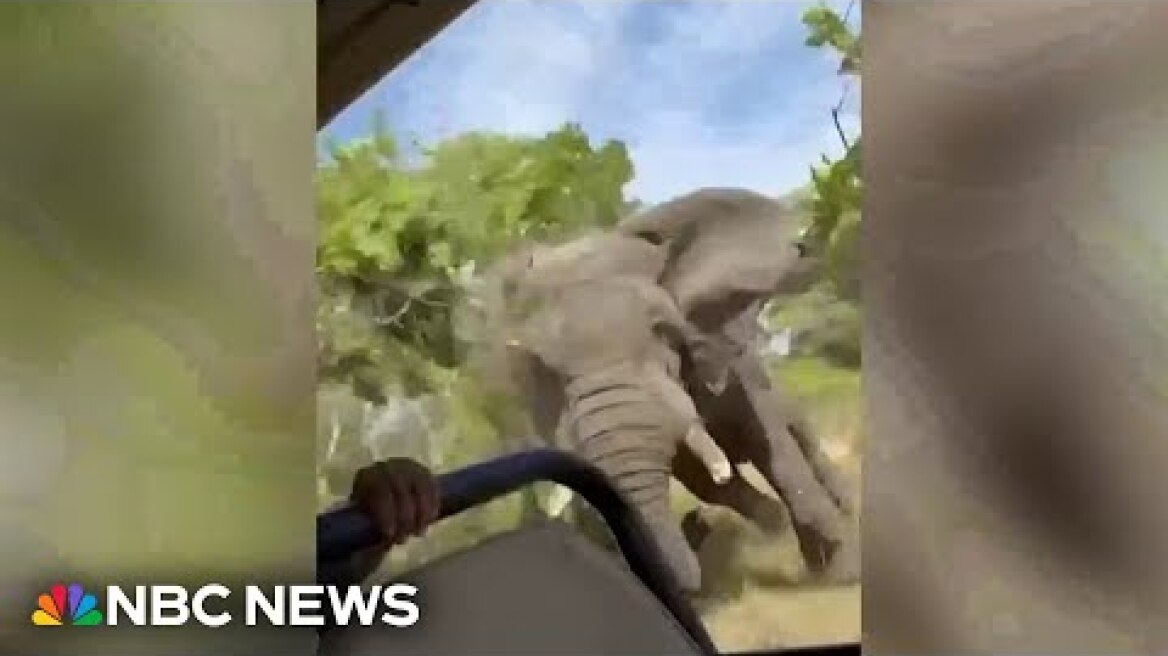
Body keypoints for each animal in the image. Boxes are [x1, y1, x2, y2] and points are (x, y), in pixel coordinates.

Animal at [486, 188, 859, 592]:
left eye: (663, 330)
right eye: (542, 369)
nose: (695, 525)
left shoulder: (725, 365)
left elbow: (773, 449)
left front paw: (841, 574)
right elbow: (700, 477)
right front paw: (772, 525)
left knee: (802, 439)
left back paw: (844, 507)